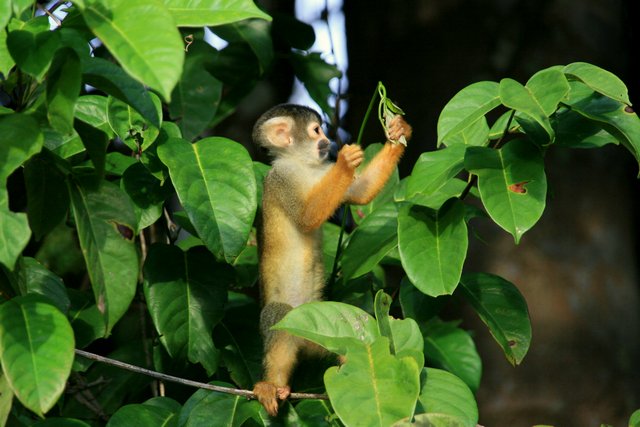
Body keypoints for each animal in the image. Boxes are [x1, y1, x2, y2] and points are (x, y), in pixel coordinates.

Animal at [250, 102, 410, 416]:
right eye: (316, 130)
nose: (328, 141)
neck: (302, 165)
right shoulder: (281, 180)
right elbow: (307, 216)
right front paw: (346, 163)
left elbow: (360, 192)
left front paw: (398, 131)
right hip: (289, 323)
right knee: (279, 315)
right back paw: (271, 385)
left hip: (321, 329)